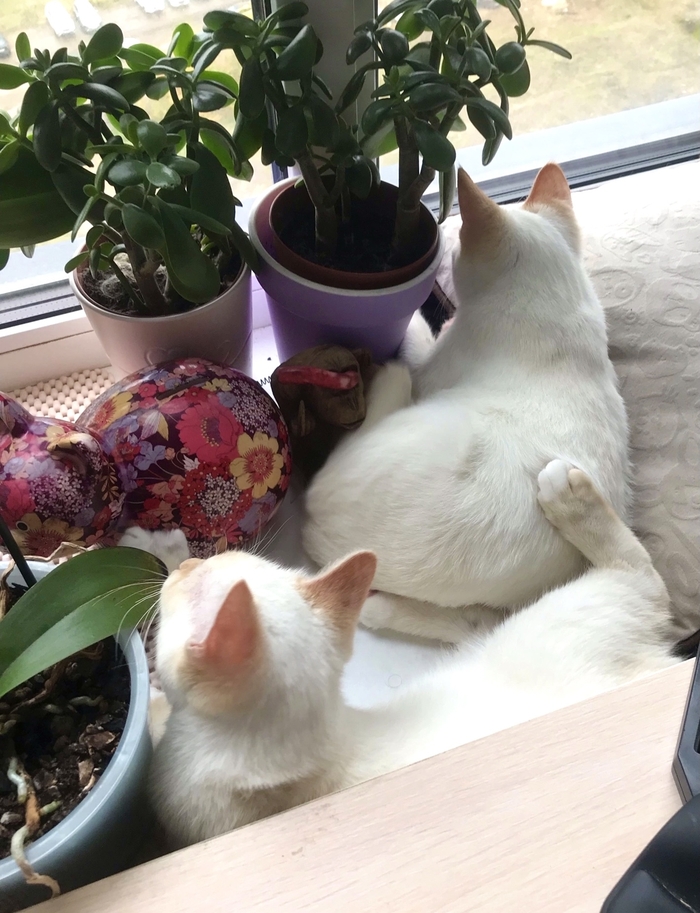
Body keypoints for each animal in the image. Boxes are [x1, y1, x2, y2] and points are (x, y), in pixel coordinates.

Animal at [148, 461, 676, 848]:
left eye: (195, 580)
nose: (192, 562)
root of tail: (658, 666)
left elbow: (156, 712)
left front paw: (158, 550)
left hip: (564, 614)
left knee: (642, 574)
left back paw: (568, 495)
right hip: (506, 633)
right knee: (479, 621)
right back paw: (380, 606)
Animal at [302, 164, 630, 643]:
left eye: (457, 248)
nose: (451, 253)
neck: (556, 303)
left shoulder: (432, 367)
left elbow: (418, 341)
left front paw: (420, 324)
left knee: (396, 376)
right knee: (474, 621)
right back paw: (382, 609)